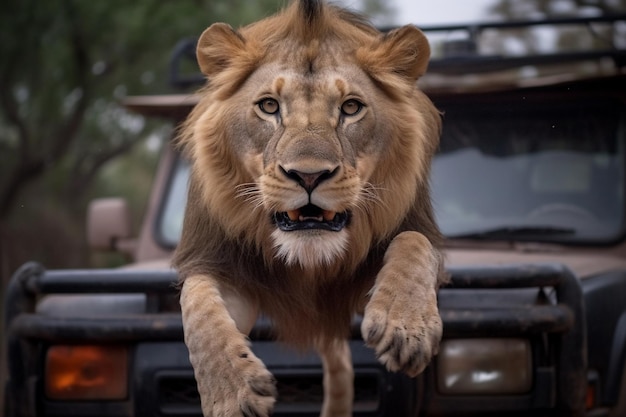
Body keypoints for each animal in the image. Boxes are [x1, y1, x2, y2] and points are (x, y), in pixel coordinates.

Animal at [171, 0, 444, 414]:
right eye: (269, 106)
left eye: (351, 107)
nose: (309, 175)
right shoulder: (223, 268)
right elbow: (198, 303)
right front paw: (232, 394)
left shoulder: (408, 240)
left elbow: (414, 242)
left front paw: (404, 327)